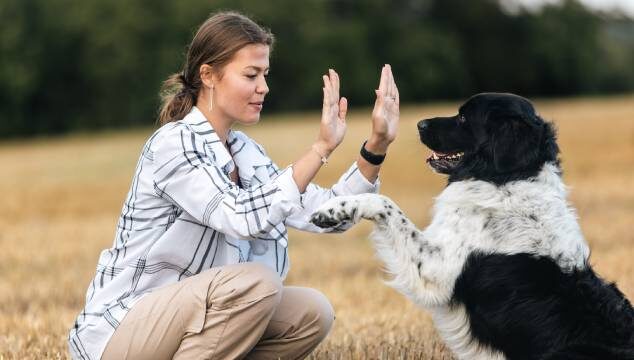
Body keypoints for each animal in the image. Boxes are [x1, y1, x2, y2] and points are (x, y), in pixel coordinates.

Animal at [312, 93, 632, 360]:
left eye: (465, 118)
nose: (419, 123)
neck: (506, 178)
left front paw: (332, 210)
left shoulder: (436, 270)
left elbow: (385, 204)